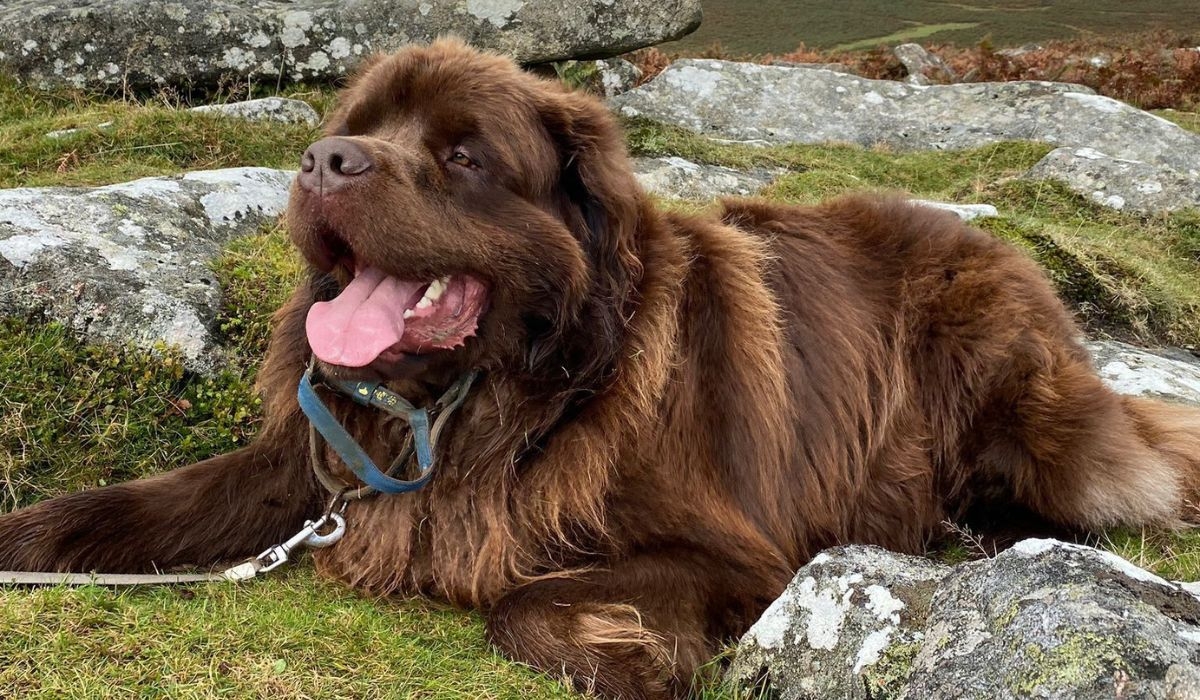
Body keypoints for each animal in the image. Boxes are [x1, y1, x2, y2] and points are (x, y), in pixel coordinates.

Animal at [2, 38, 1200, 700]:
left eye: (463, 155)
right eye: (355, 126)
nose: (324, 161)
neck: (477, 401)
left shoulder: (741, 550)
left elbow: (527, 604)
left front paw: (637, 662)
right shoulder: (306, 469)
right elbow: (125, 505)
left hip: (1034, 409)